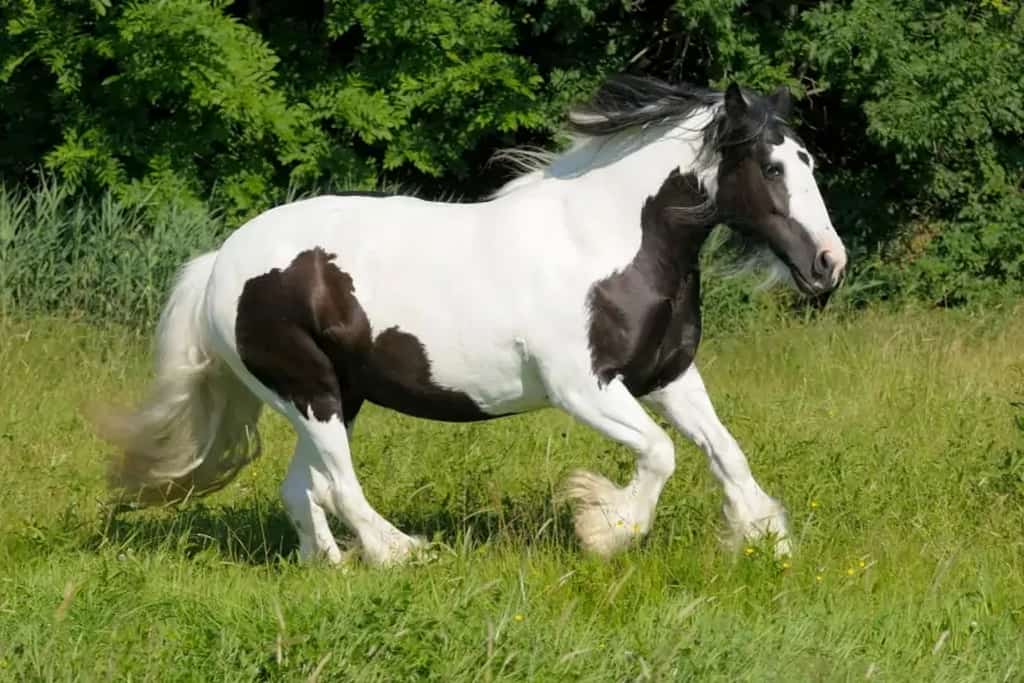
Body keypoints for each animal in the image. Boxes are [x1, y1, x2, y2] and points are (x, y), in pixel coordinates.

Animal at [91, 75, 847, 566]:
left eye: (807, 159)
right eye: (772, 166)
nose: (829, 263)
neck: (605, 241)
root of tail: (221, 261)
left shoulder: (668, 375)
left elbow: (725, 451)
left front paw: (766, 538)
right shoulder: (584, 388)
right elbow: (660, 453)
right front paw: (604, 526)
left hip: (335, 395)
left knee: (303, 487)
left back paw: (332, 566)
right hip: (308, 391)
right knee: (339, 485)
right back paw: (402, 553)